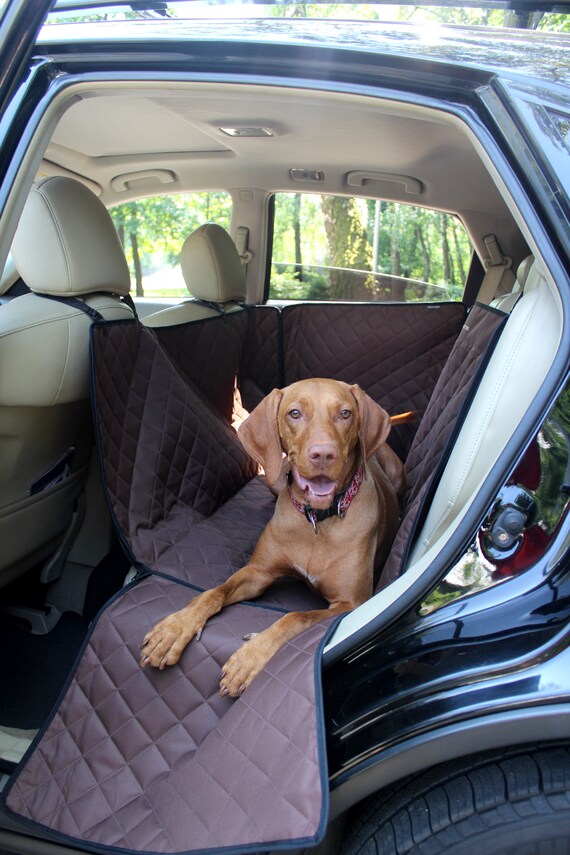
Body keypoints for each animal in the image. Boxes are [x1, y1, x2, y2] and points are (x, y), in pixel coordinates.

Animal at [140, 380, 406, 696]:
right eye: (294, 413)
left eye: (345, 413)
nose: (323, 454)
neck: (316, 520)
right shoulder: (258, 572)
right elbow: (214, 593)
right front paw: (175, 628)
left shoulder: (351, 604)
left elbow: (295, 617)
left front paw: (250, 656)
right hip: (273, 479)